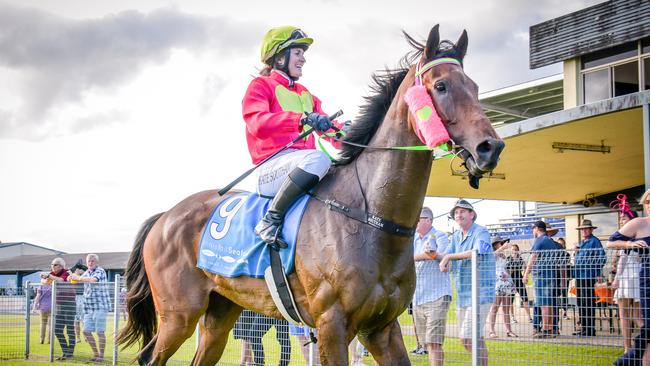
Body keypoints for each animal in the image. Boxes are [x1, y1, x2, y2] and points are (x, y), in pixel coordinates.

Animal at [117, 24, 502, 364]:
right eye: (441, 85)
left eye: (474, 86)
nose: (491, 147)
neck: (370, 216)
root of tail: (165, 217)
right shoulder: (332, 325)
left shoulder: (382, 327)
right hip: (179, 314)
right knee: (150, 356)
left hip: (221, 310)